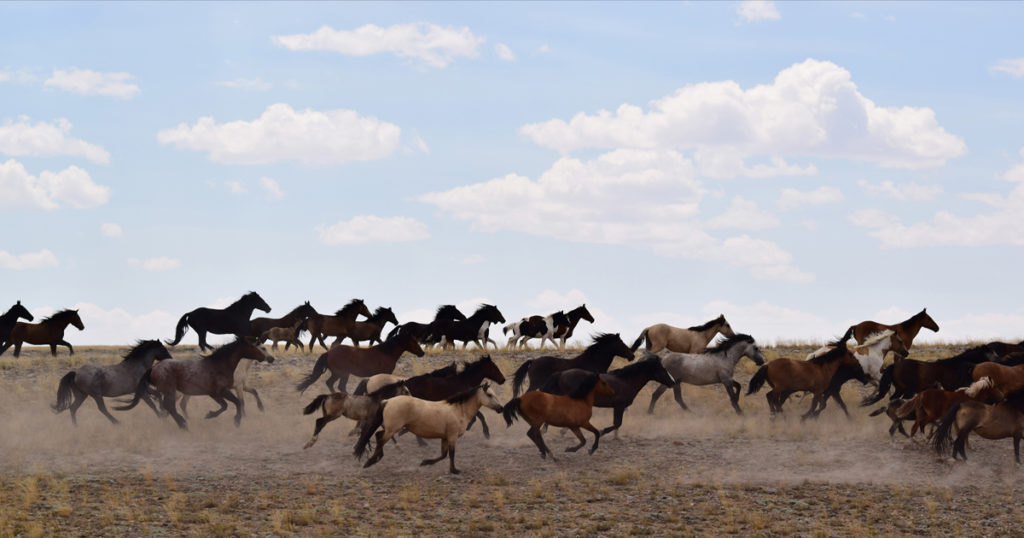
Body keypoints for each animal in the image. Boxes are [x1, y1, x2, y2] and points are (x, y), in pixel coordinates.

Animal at [117, 337, 275, 430]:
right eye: (257, 346)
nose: (269, 358)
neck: (220, 365)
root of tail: (153, 368)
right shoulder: (222, 390)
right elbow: (236, 402)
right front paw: (237, 420)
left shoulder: (215, 393)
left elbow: (226, 405)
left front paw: (210, 415)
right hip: (171, 391)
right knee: (170, 406)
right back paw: (183, 424)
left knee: (169, 407)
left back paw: (181, 422)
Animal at [295, 329, 425, 393]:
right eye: (414, 341)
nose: (422, 353)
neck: (386, 352)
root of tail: (329, 353)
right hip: (341, 373)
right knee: (333, 384)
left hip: (342, 374)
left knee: (335, 385)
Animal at [355, 383, 504, 474]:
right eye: (489, 395)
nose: (501, 408)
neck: (458, 410)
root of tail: (388, 401)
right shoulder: (452, 436)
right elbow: (451, 454)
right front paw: (454, 470)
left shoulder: (445, 437)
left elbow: (443, 455)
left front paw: (425, 462)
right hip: (392, 428)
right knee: (380, 439)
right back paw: (370, 461)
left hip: (390, 428)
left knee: (378, 435)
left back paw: (375, 458)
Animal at [539, 356, 675, 436]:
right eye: (663, 369)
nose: (673, 382)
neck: (626, 381)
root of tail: (561, 374)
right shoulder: (619, 406)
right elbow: (617, 423)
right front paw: (601, 431)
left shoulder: (617, 407)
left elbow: (617, 424)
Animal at [860, 345, 1000, 406]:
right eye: (991, 354)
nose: (999, 360)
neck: (956, 365)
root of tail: (895, 365)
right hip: (908, 391)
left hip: (900, 389)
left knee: (893, 399)